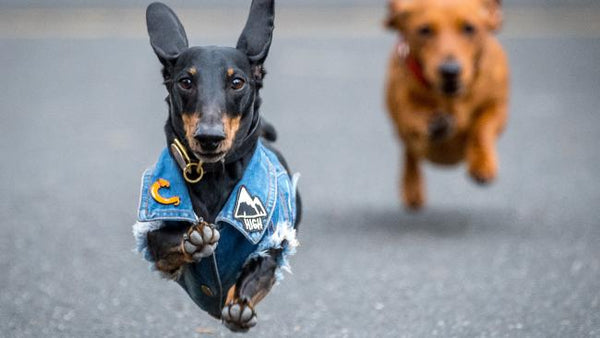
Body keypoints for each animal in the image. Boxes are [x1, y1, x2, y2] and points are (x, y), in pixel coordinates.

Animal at [386, 0, 508, 209]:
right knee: (411, 153)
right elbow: (411, 114)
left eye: (469, 28)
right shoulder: (403, 104)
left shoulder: (498, 105)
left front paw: (482, 164)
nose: (450, 71)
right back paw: (412, 188)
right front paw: (435, 124)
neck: (451, 96)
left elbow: (482, 127)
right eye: (424, 30)